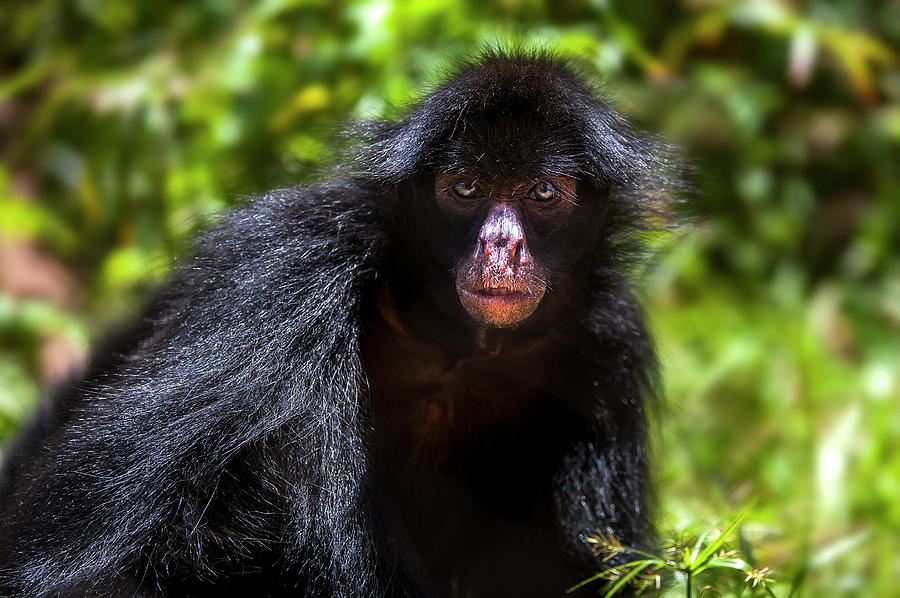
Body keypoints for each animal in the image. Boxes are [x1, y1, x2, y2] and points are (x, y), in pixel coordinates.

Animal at [0, 50, 678, 597]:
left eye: (542, 193)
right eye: (465, 188)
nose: (501, 246)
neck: (454, 347)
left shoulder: (607, 344)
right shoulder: (289, 264)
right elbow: (65, 569)